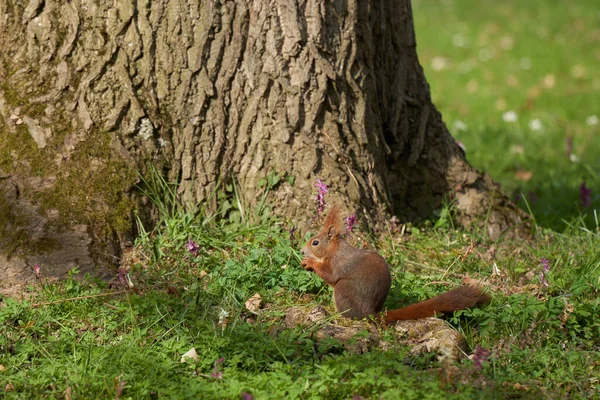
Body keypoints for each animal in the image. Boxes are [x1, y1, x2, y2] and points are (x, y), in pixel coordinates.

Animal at [302, 205, 490, 324]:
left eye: (315, 242)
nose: (303, 251)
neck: (334, 249)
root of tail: (370, 313)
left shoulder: (339, 262)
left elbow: (330, 275)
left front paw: (310, 262)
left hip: (343, 290)